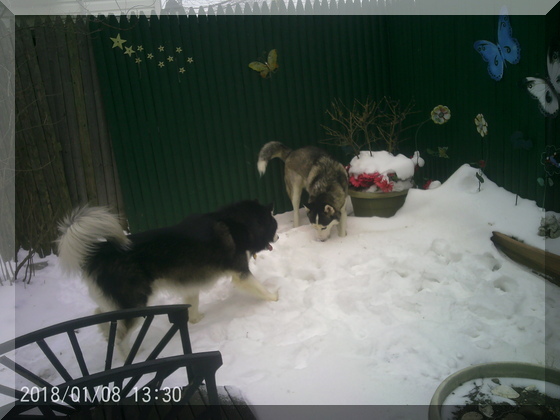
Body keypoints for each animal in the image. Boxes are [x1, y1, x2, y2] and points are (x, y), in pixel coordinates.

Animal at [57, 201, 280, 338]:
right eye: (275, 227)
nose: (278, 237)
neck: (237, 222)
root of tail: (101, 250)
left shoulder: (190, 279)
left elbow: (192, 302)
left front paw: (195, 319)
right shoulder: (240, 273)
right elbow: (259, 288)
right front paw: (275, 298)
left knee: (102, 315)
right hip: (136, 302)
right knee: (120, 335)